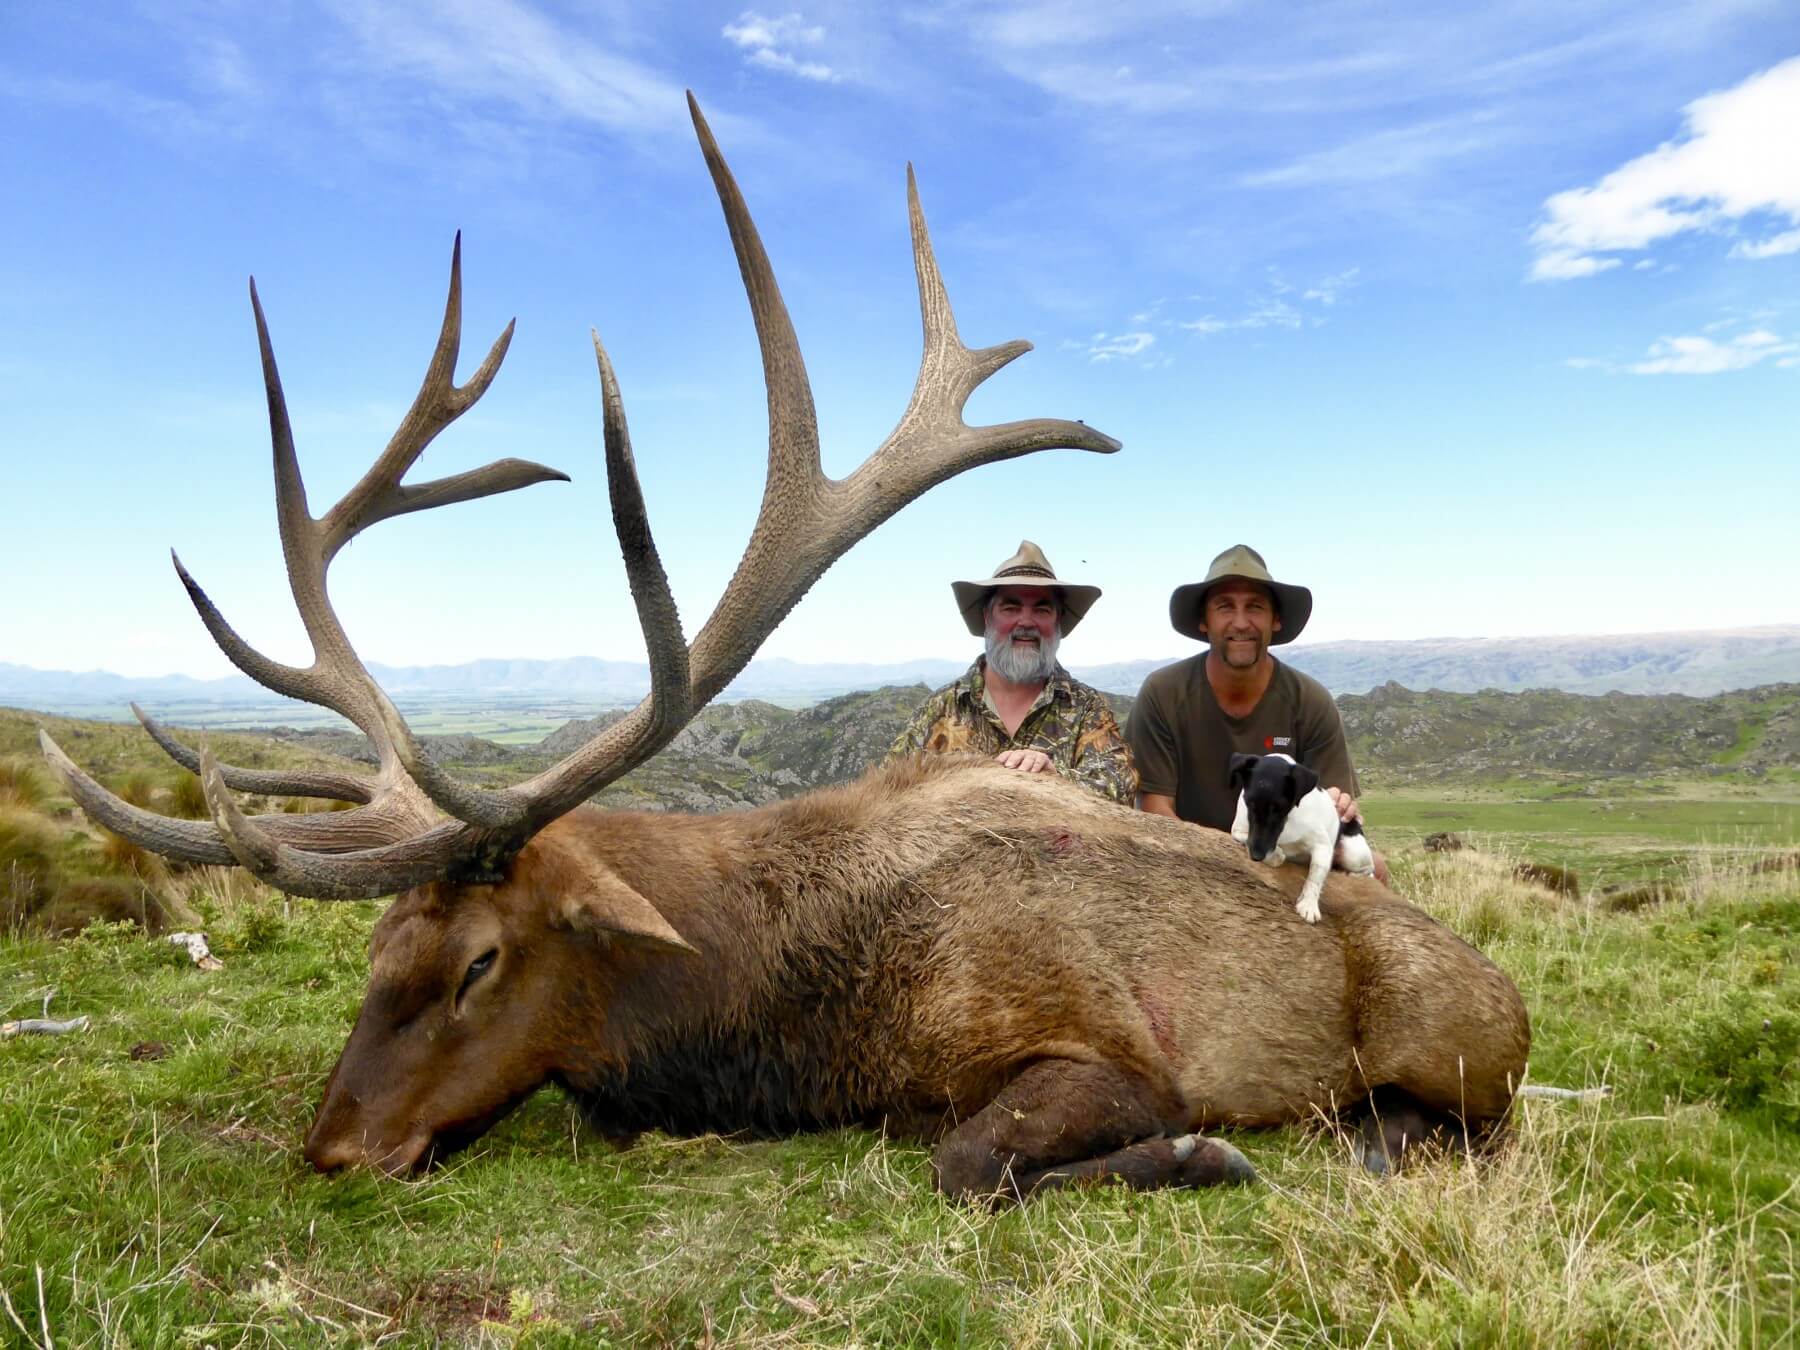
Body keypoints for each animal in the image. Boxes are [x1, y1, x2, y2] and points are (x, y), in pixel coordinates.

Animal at [40, 95, 1529, 1201]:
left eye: (479, 963)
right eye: (375, 953)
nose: (336, 1148)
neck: (772, 1011)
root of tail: (1508, 989)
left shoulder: (1104, 1042)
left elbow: (969, 1159)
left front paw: (1202, 1150)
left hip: (1455, 1042)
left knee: (1464, 1120)